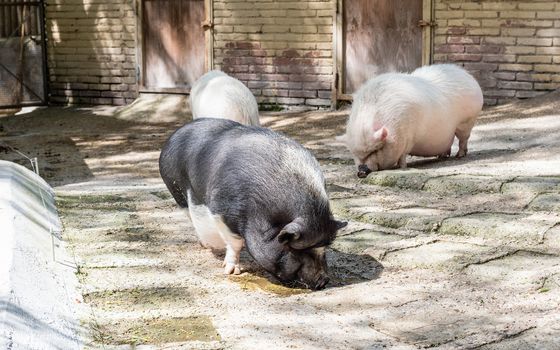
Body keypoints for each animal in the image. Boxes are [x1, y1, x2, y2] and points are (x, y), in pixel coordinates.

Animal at [158, 118, 348, 290]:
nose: (324, 281)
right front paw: (231, 272)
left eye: (324, 249)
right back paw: (206, 245)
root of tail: (176, 133)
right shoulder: (222, 211)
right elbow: (234, 243)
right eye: (296, 250)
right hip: (175, 188)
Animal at [342, 64, 482, 176]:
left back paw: (459, 155)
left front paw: (401, 167)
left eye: (375, 150)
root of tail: (469, 77)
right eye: (355, 153)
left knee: (463, 139)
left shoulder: (408, 139)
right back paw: (442, 156)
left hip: (466, 121)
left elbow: (403, 156)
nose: (361, 172)